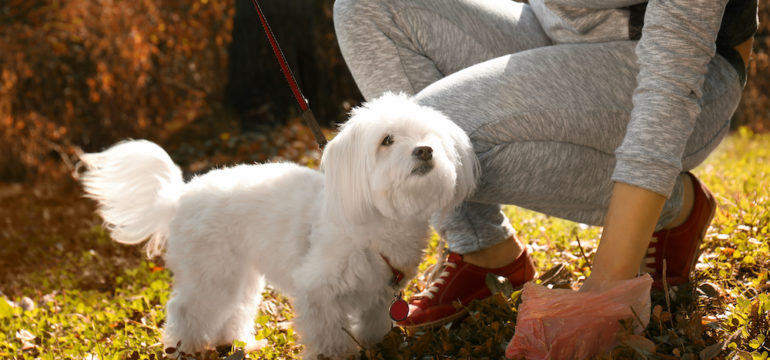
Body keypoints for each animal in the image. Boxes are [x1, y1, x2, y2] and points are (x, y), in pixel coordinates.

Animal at [78, 92, 474, 358]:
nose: (424, 150)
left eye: (431, 137)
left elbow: (375, 326)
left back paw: (238, 342)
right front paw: (338, 354)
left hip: (240, 274)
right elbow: (329, 336)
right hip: (211, 273)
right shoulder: (318, 291)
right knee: (186, 310)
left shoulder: (379, 296)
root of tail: (180, 195)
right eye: (387, 140)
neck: (379, 221)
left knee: (234, 309)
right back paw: (184, 348)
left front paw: (376, 347)